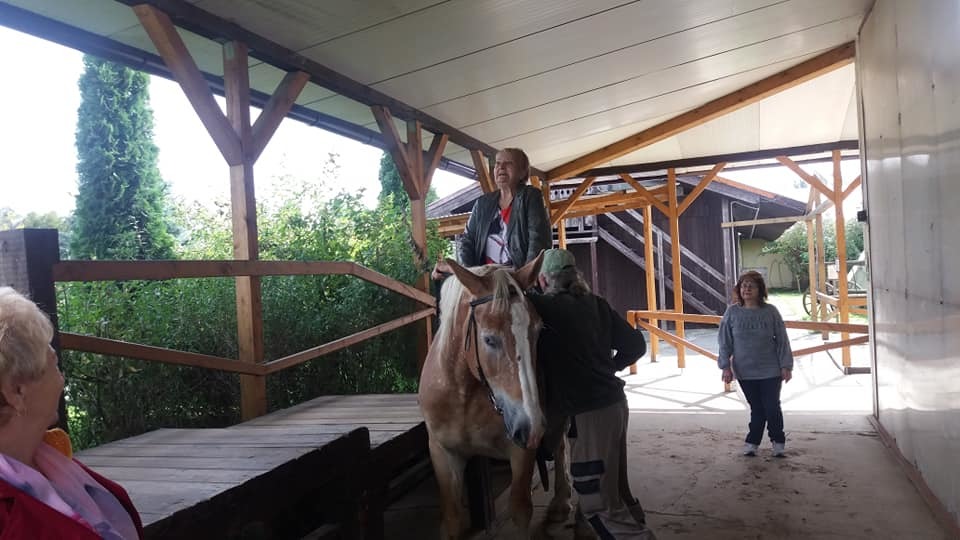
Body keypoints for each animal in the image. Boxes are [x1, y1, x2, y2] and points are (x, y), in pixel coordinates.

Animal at [418, 254, 572, 538]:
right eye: (489, 339)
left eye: (537, 331)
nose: (531, 426)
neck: (463, 394)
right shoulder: (443, 453)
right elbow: (452, 519)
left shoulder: (521, 451)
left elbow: (520, 510)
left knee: (560, 443)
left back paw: (561, 502)